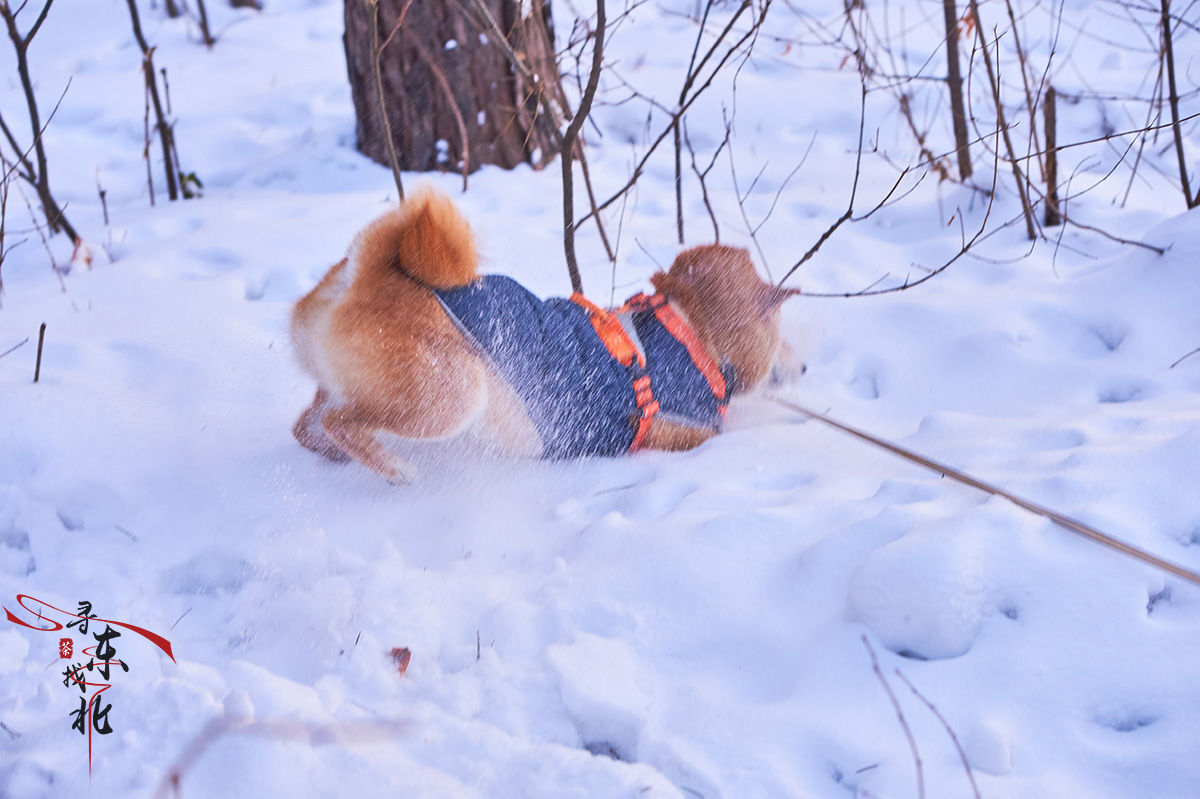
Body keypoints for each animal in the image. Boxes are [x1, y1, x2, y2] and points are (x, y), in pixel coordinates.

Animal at [289, 187, 796, 482]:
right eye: (784, 337)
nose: (805, 365)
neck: (686, 331)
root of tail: (369, 272)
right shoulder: (680, 433)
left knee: (310, 426)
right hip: (451, 396)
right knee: (342, 422)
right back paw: (395, 469)